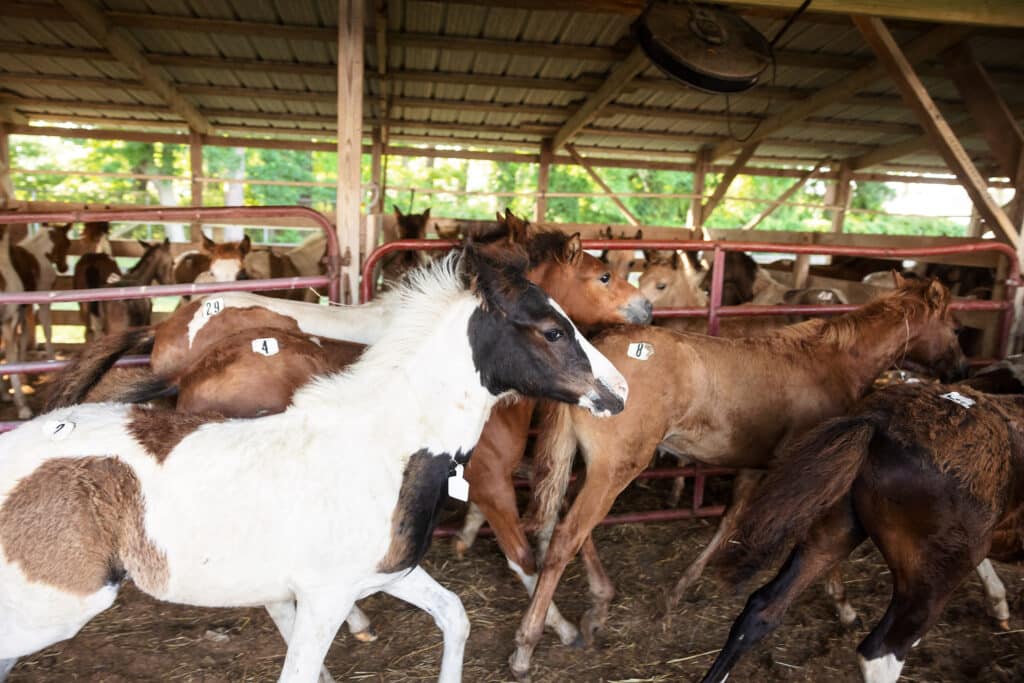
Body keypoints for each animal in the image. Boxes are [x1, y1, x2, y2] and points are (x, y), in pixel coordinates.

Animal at [0, 242, 626, 679]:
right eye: (553, 330)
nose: (619, 392)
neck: (384, 445)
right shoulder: (327, 596)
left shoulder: (386, 573)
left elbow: (455, 615)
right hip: (49, 609)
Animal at [509, 274, 966, 679]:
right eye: (955, 326)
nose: (961, 367)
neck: (832, 361)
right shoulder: (814, 476)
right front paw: (844, 606)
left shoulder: (755, 467)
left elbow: (730, 521)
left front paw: (676, 595)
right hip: (615, 469)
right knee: (567, 536)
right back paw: (526, 646)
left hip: (586, 464)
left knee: (565, 523)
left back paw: (599, 605)